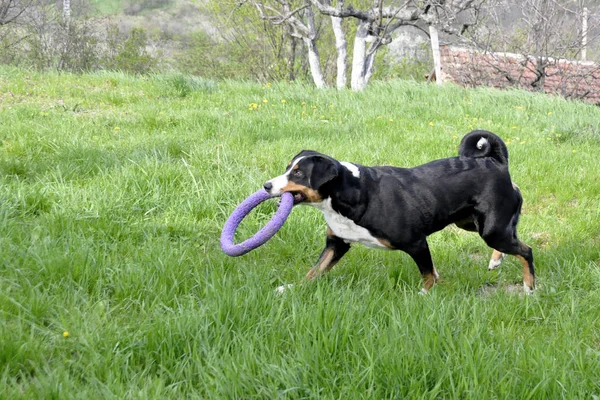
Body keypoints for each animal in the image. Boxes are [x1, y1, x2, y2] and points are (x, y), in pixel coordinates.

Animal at [262, 130, 536, 294]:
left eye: (298, 173)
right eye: (287, 168)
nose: (266, 186)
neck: (351, 193)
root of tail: (495, 163)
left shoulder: (416, 243)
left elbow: (427, 273)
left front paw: (425, 294)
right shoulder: (337, 243)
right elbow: (315, 270)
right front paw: (291, 288)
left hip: (491, 229)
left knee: (526, 251)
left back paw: (529, 288)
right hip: (472, 223)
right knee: (513, 237)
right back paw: (496, 260)